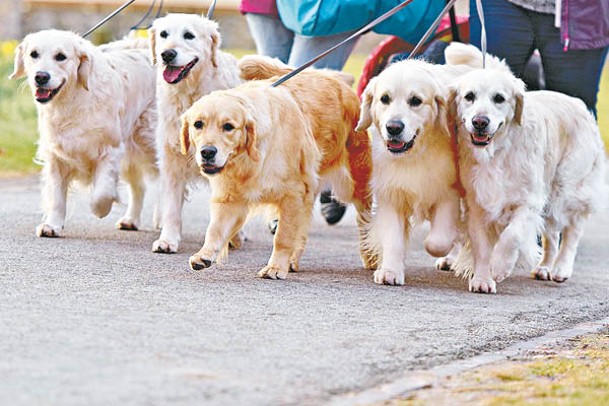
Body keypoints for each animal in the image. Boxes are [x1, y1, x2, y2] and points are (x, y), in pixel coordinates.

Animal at [10, 30, 157, 238]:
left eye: (61, 56)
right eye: (34, 54)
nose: (41, 76)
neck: (71, 101)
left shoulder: (110, 150)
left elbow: (101, 194)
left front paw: (100, 210)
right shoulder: (56, 156)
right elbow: (56, 197)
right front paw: (51, 225)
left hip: (150, 140)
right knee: (139, 187)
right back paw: (131, 220)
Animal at [148, 14, 241, 254]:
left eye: (188, 35)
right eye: (163, 34)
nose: (167, 54)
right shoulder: (171, 160)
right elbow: (172, 207)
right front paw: (167, 240)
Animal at [179, 58, 376, 280]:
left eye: (228, 127)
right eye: (198, 124)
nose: (207, 152)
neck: (251, 157)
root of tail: (332, 78)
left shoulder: (293, 194)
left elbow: (283, 236)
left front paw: (275, 267)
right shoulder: (231, 197)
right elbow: (215, 229)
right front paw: (204, 254)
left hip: (357, 182)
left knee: (365, 219)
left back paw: (371, 257)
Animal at [448, 66, 604, 294]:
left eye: (499, 98)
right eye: (469, 96)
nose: (480, 122)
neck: (497, 153)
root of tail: (578, 103)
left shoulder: (529, 201)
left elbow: (512, 235)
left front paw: (499, 266)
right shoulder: (477, 204)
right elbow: (482, 246)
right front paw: (482, 279)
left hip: (566, 189)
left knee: (572, 231)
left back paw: (561, 268)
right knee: (552, 236)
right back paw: (544, 267)